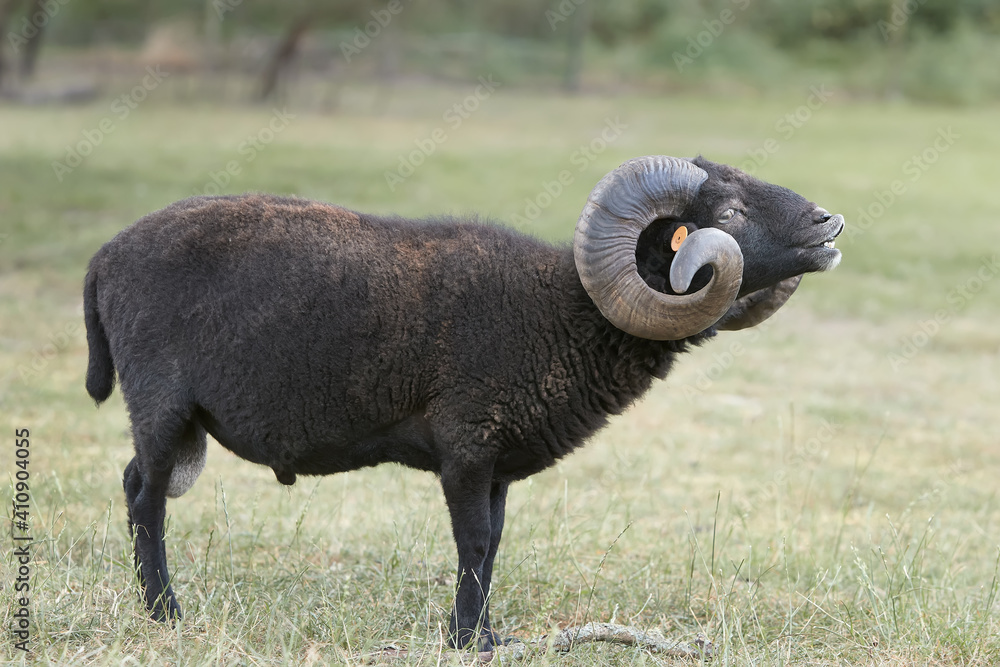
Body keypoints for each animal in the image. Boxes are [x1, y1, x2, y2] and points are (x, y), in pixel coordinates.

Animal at [84, 155, 844, 651]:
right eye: (731, 211)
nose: (830, 223)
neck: (563, 313)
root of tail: (105, 255)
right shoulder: (467, 448)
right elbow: (473, 541)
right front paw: (467, 640)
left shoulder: (499, 463)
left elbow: (495, 542)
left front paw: (483, 632)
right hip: (160, 402)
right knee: (143, 495)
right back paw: (165, 613)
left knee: (136, 483)